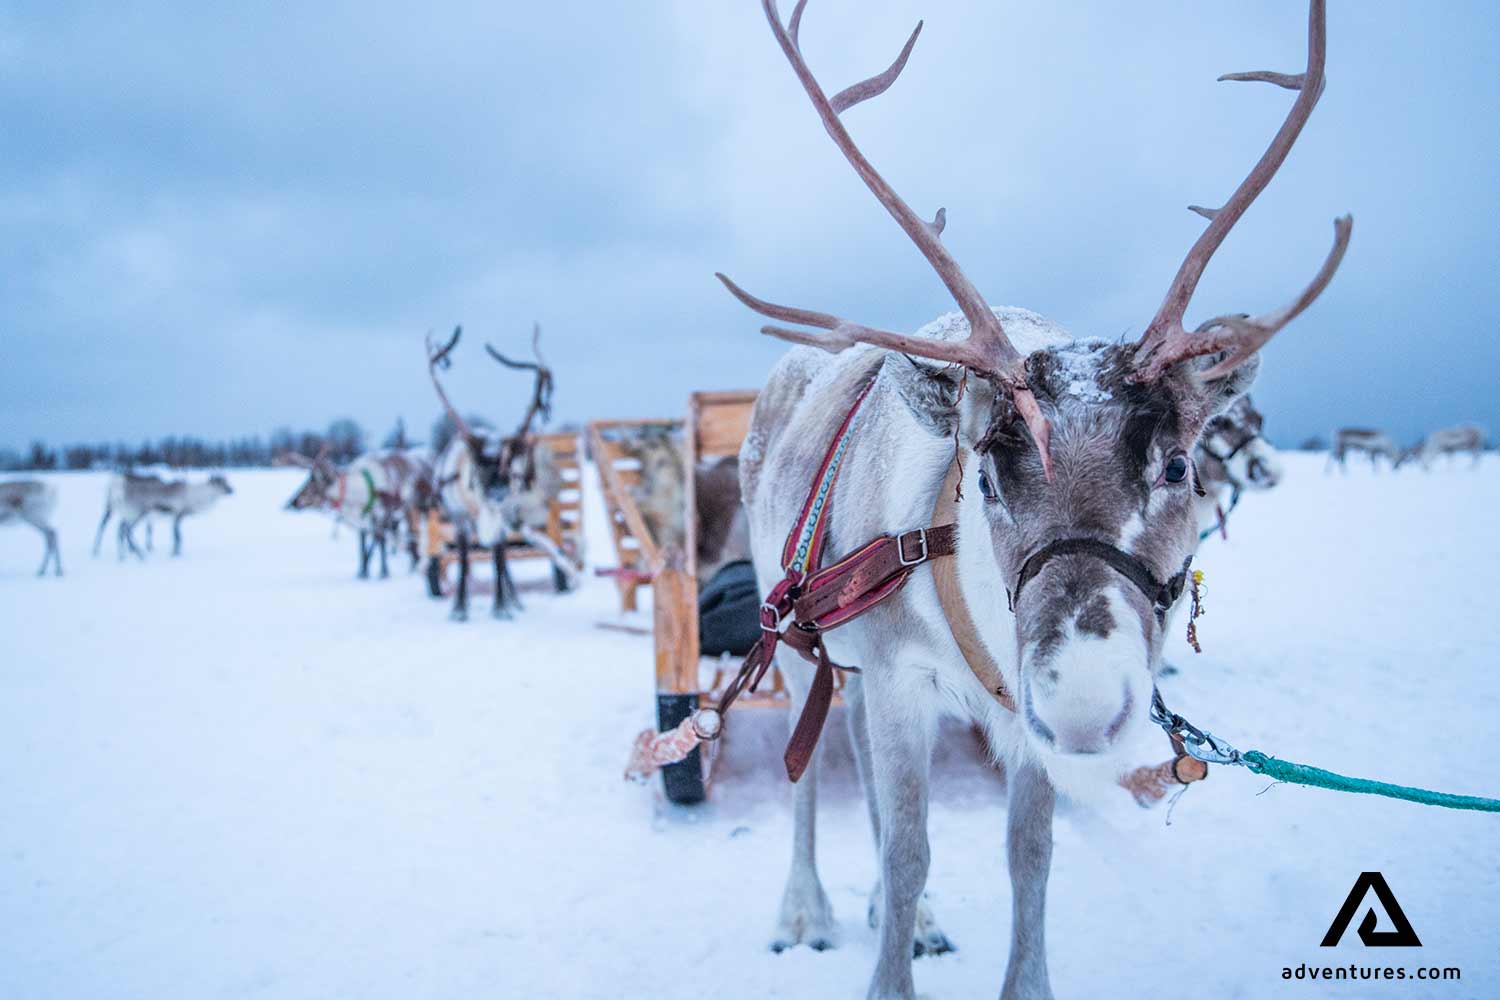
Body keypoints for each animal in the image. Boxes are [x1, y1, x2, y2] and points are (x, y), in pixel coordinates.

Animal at [93, 471, 232, 560]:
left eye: (227, 482)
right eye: (221, 483)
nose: (232, 490)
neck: (195, 496)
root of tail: (116, 483)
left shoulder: (176, 517)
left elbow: (177, 535)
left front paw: (176, 552)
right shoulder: (177, 514)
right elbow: (177, 536)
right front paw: (175, 553)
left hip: (115, 509)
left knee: (112, 527)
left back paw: (110, 553)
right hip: (137, 512)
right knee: (125, 530)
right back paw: (138, 555)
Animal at [281, 446, 436, 578]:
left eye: (312, 483)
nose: (291, 503)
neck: (361, 493)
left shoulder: (383, 513)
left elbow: (379, 540)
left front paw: (383, 571)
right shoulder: (365, 516)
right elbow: (363, 540)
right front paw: (363, 570)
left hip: (414, 506)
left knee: (414, 531)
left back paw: (414, 562)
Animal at [427, 325, 579, 621]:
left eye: (508, 473)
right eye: (481, 470)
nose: (499, 494)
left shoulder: (503, 517)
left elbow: (498, 559)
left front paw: (501, 607)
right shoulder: (460, 519)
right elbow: (464, 560)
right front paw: (459, 609)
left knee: (504, 559)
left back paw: (514, 600)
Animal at [718, 3, 1350, 997]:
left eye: (1180, 465)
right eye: (984, 473)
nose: (1085, 700)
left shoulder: (1014, 715)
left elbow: (1030, 855)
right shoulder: (901, 677)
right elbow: (910, 849)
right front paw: (886, 959)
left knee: (850, 741)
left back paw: (904, 919)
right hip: (791, 637)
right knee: (811, 755)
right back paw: (806, 911)